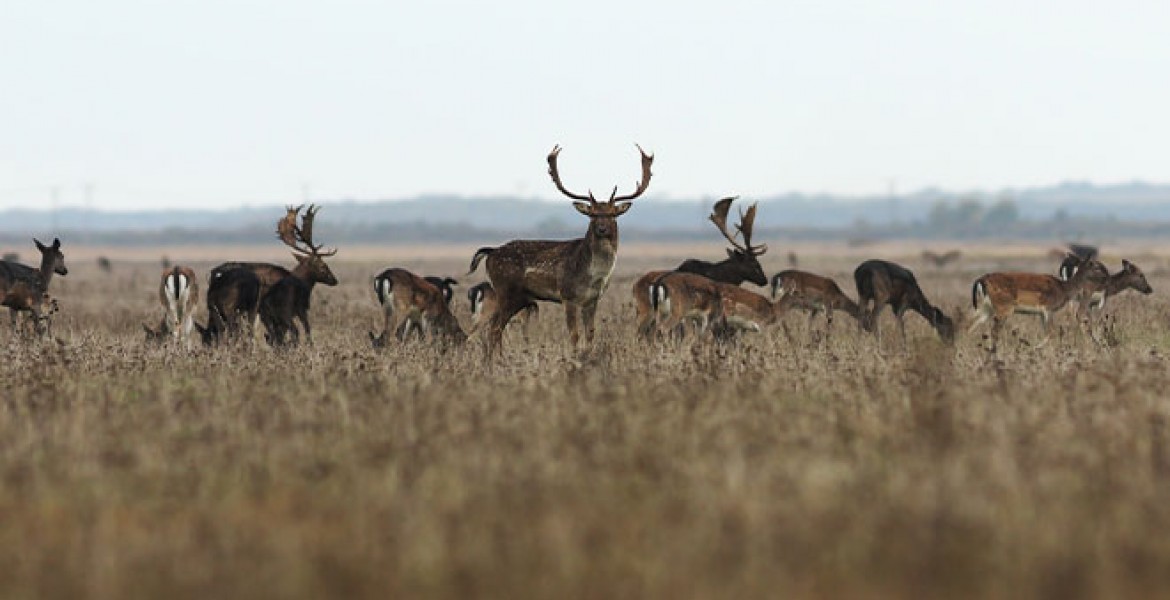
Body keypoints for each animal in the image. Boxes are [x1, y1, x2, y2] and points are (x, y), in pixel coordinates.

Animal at [465, 143, 655, 353]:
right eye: (592, 214)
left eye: (613, 214)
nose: (602, 228)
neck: (594, 276)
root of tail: (490, 252)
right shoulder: (568, 295)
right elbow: (574, 334)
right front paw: (574, 357)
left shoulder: (593, 299)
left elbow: (590, 333)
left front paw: (588, 354)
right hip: (506, 290)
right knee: (495, 328)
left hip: (518, 297)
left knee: (494, 328)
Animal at [968, 253, 1104, 346]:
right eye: (1095, 266)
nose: (1105, 275)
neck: (1063, 289)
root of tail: (981, 280)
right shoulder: (1048, 309)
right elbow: (1051, 333)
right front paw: (1035, 348)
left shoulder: (1041, 313)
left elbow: (1047, 332)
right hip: (1004, 308)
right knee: (994, 330)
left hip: (986, 307)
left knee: (970, 323)